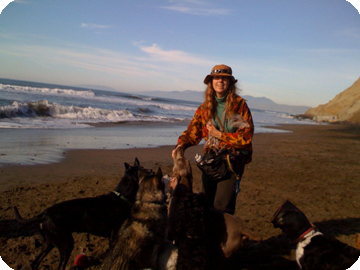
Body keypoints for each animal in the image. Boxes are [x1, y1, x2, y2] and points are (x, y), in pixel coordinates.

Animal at [13, 158, 152, 270]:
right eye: (142, 171)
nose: (151, 170)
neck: (122, 197)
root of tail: (43, 214)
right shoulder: (114, 234)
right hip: (66, 243)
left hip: (49, 242)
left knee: (35, 263)